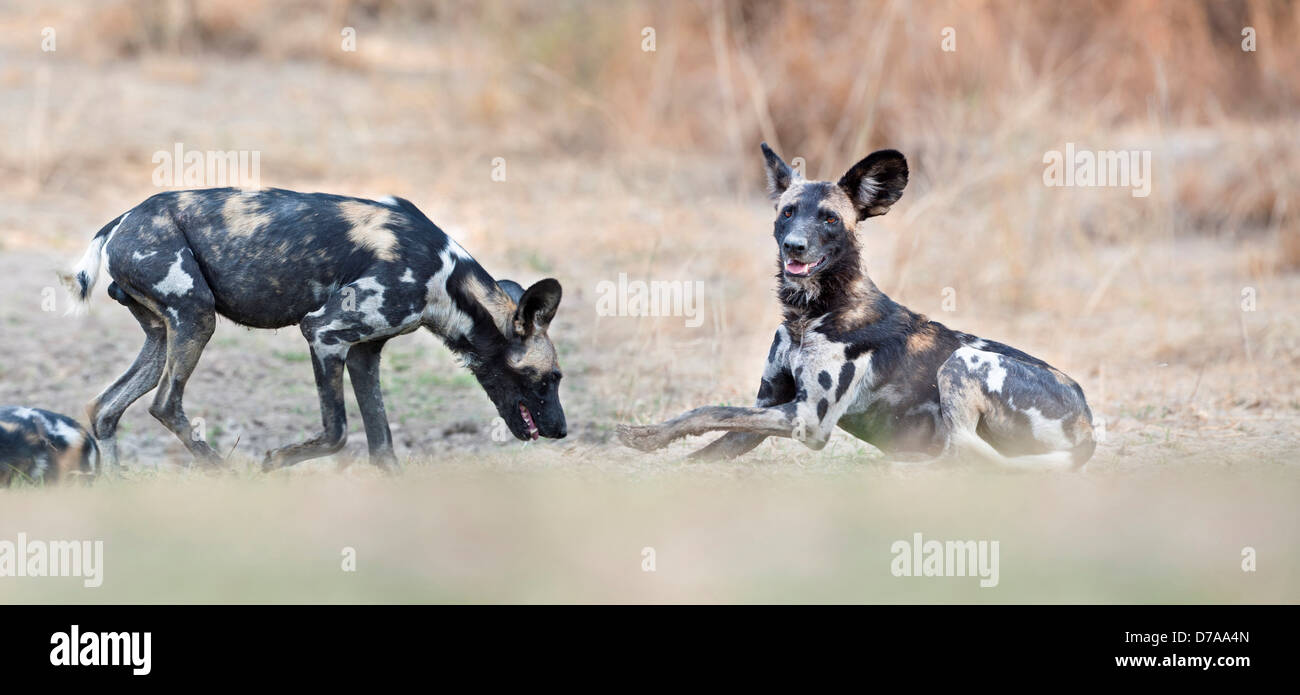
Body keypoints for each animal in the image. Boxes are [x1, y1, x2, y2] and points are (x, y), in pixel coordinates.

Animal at [61, 189, 566, 472]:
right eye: (551, 379)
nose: (561, 430)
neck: (447, 278)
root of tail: (123, 219)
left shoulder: (363, 353)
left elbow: (383, 449)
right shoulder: (324, 334)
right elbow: (338, 432)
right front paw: (274, 462)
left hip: (164, 335)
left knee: (105, 408)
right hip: (197, 320)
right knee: (166, 404)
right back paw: (224, 471)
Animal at [618, 143, 1097, 470]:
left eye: (829, 219)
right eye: (787, 213)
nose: (795, 246)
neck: (808, 315)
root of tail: (1089, 426)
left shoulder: (808, 419)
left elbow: (709, 410)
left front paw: (643, 435)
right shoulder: (771, 404)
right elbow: (710, 429)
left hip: (963, 360)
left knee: (964, 450)